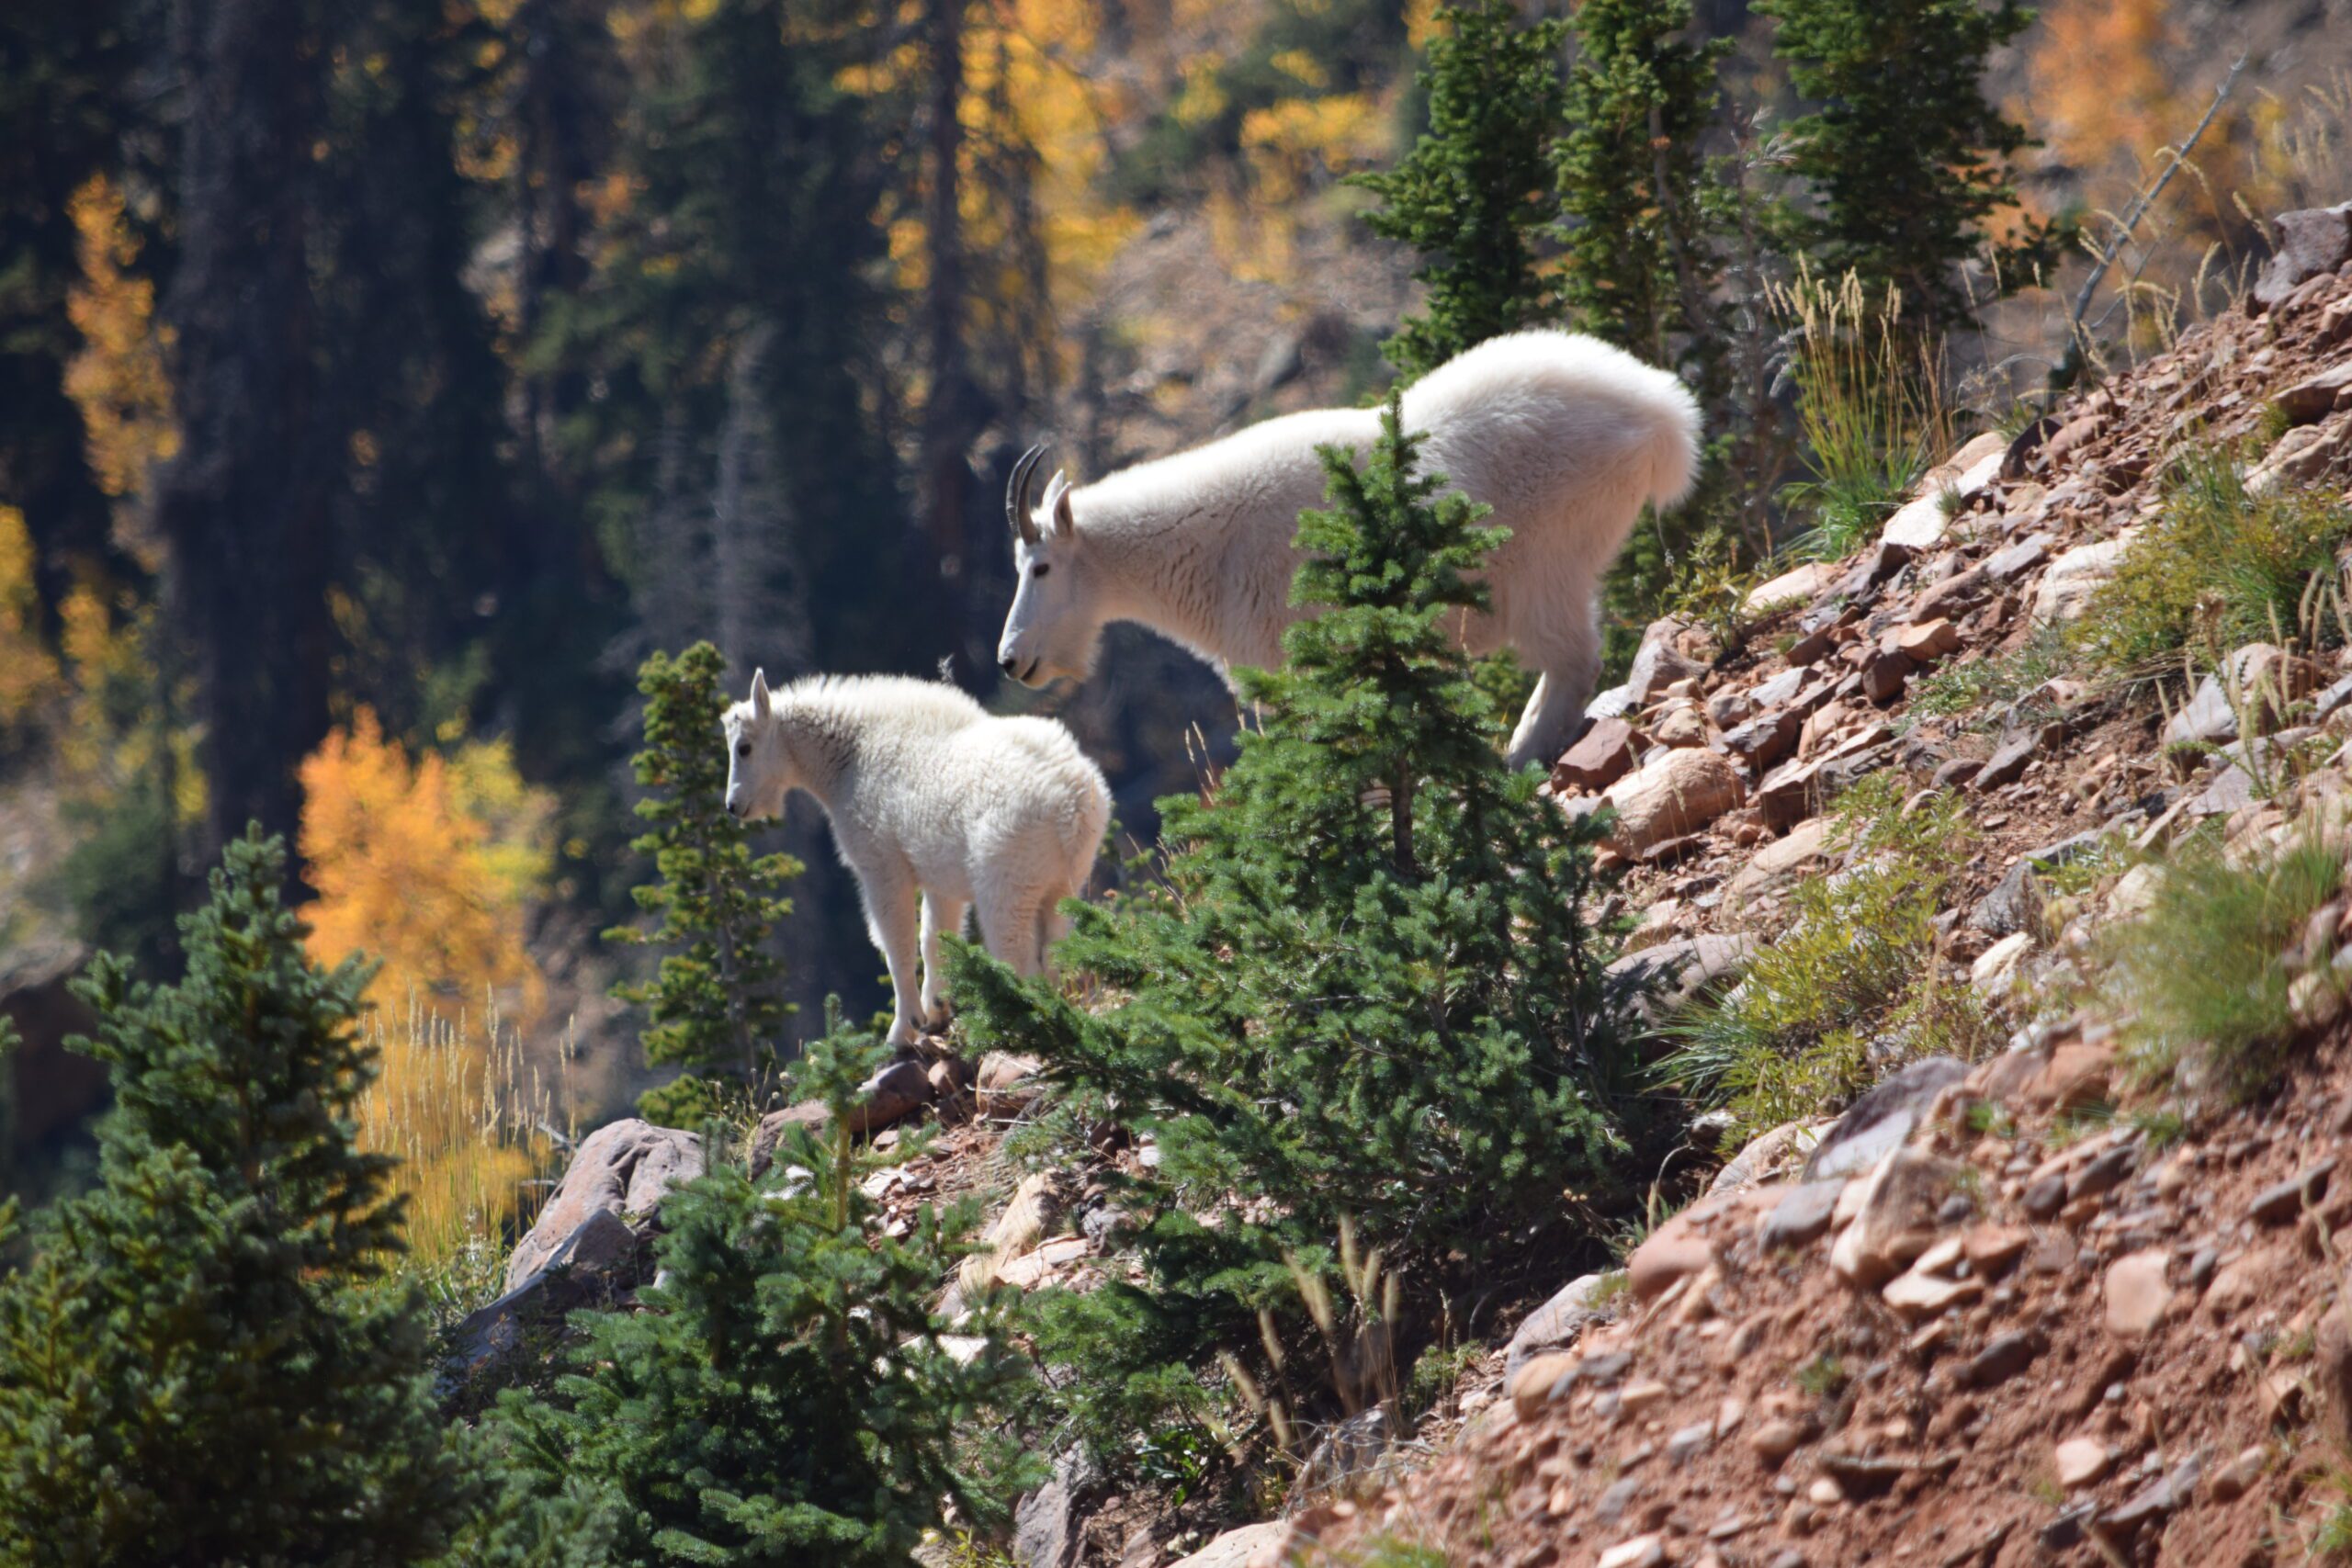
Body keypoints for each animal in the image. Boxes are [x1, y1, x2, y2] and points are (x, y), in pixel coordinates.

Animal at [719, 671, 1114, 1043]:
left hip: (1007, 881)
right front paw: (936, 1012)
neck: (849, 759)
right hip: (1066, 882)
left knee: (1016, 956)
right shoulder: (941, 877)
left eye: (744, 748)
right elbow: (934, 939)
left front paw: (903, 1028)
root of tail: (1071, 803)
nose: (734, 806)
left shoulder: (881, 864)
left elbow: (897, 944)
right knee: (1053, 953)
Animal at [1001, 333, 1702, 771]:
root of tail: (1662, 412)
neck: (1208, 546)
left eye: (1041, 566)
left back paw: (1518, 757)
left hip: (1546, 563)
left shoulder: (1299, 664)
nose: (1011, 660)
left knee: (1571, 661)